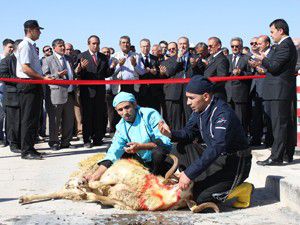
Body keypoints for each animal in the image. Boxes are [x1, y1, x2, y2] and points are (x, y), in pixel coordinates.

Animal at [19, 153, 220, 213]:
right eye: (183, 184)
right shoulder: (115, 175)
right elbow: (98, 183)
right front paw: (86, 185)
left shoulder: (118, 202)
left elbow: (97, 195)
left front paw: (87, 192)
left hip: (69, 193)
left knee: (60, 192)